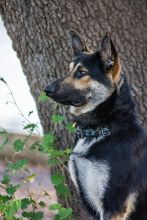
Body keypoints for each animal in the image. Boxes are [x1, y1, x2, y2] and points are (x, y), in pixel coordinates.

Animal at [44, 29, 147, 220]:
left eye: (82, 72)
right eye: (69, 70)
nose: (46, 90)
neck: (102, 128)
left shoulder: (114, 205)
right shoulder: (90, 205)